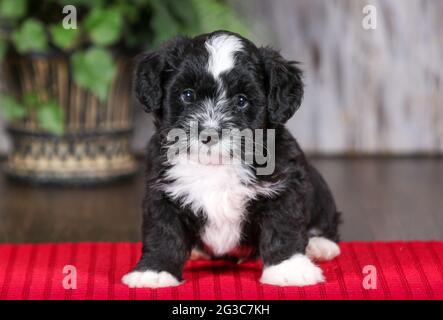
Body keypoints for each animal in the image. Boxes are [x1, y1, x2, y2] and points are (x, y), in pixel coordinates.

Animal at [123, 30, 342, 288]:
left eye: (241, 100)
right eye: (188, 95)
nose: (208, 133)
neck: (215, 165)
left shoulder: (284, 186)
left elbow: (283, 226)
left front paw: (288, 268)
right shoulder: (162, 191)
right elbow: (163, 231)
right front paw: (155, 270)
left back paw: (320, 245)